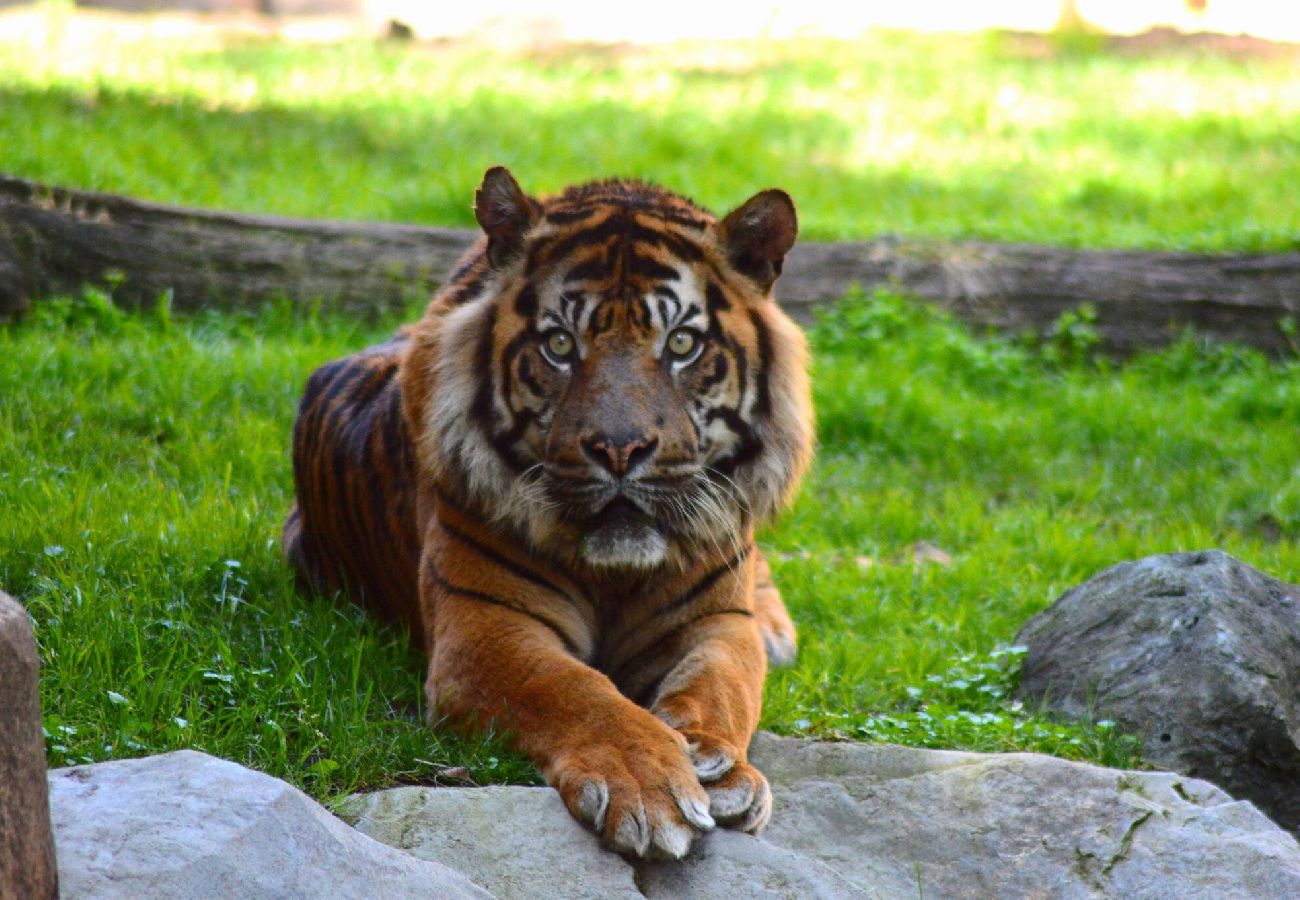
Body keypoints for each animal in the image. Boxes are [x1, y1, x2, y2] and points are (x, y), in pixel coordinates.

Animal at [284, 166, 811, 858]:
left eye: (682, 343)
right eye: (561, 343)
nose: (620, 449)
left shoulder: (717, 618)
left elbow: (722, 687)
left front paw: (717, 761)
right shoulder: (485, 629)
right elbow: (574, 691)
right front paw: (650, 783)